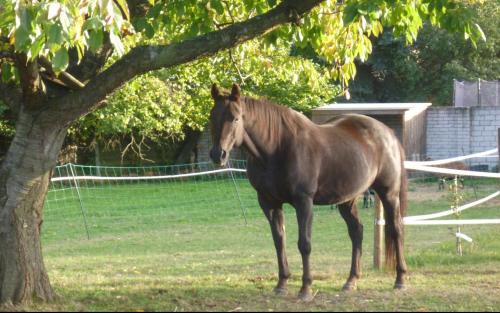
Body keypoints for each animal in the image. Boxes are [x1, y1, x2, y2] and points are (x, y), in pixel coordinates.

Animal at [209, 83, 408, 300]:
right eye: (212, 117)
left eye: (235, 118)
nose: (218, 155)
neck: (277, 148)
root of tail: (388, 133)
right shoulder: (269, 202)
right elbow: (279, 241)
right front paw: (281, 283)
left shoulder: (304, 202)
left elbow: (304, 243)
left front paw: (305, 289)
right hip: (347, 200)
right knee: (357, 231)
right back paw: (351, 281)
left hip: (388, 193)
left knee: (396, 230)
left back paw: (400, 279)